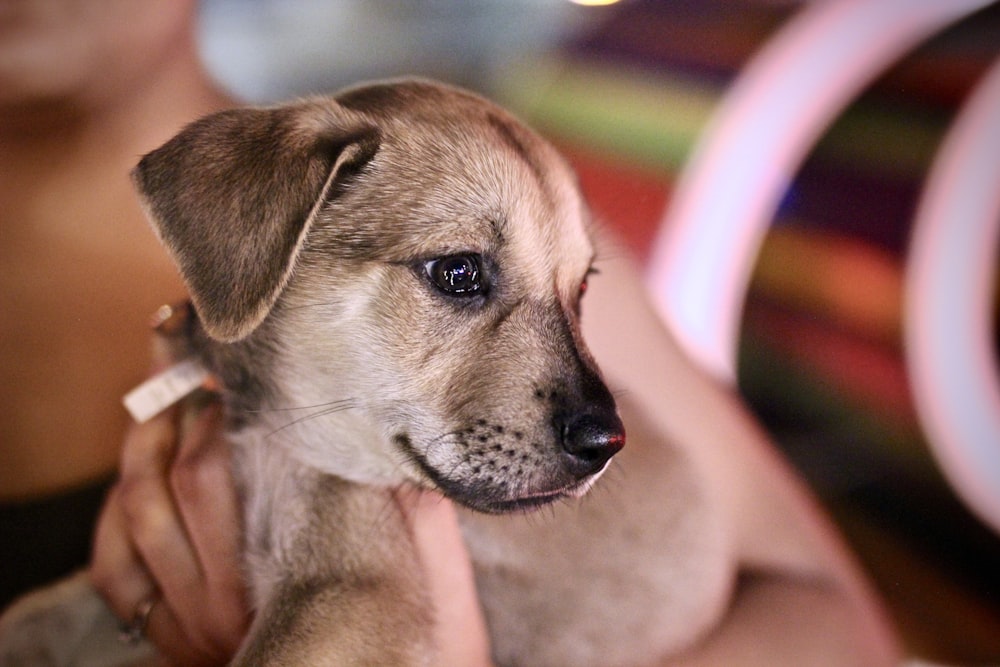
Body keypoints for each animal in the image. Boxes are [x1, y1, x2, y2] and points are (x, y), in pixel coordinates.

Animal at [0, 79, 752, 667]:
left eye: (582, 290)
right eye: (458, 272)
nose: (607, 444)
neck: (257, 420)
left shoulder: (351, 584)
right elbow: (34, 617)